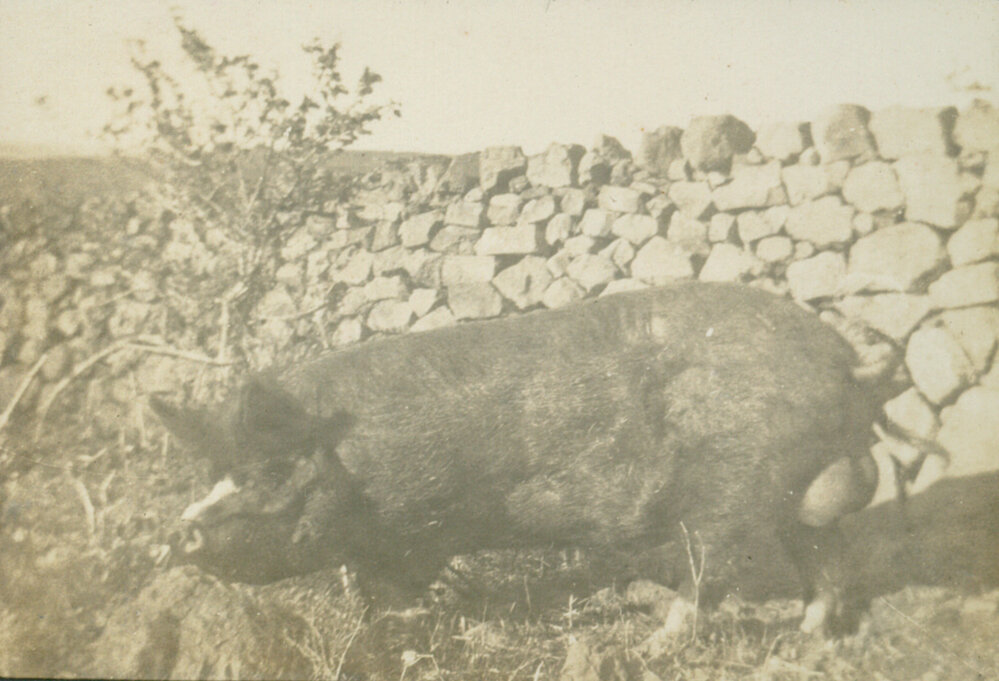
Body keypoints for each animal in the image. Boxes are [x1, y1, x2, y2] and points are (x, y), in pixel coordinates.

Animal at [151, 281, 880, 635]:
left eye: (268, 473)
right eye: (211, 474)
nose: (174, 535)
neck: (353, 467)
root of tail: (840, 356)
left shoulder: (416, 532)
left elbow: (399, 595)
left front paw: (405, 630)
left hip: (733, 490)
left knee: (710, 577)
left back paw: (656, 645)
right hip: (795, 492)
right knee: (829, 559)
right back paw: (810, 640)